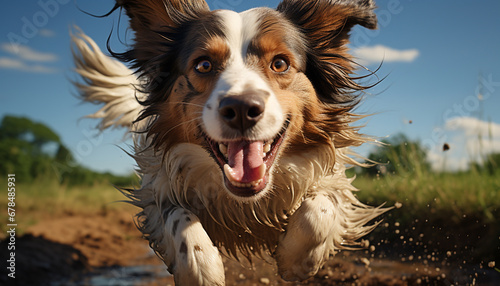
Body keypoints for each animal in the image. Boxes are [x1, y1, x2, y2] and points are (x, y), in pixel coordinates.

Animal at [72, 0, 388, 284]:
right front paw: (201, 270)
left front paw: (295, 260)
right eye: (204, 64)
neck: (246, 204)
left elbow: (320, 210)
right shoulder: (158, 186)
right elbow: (178, 218)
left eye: (280, 63)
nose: (241, 109)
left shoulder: (332, 180)